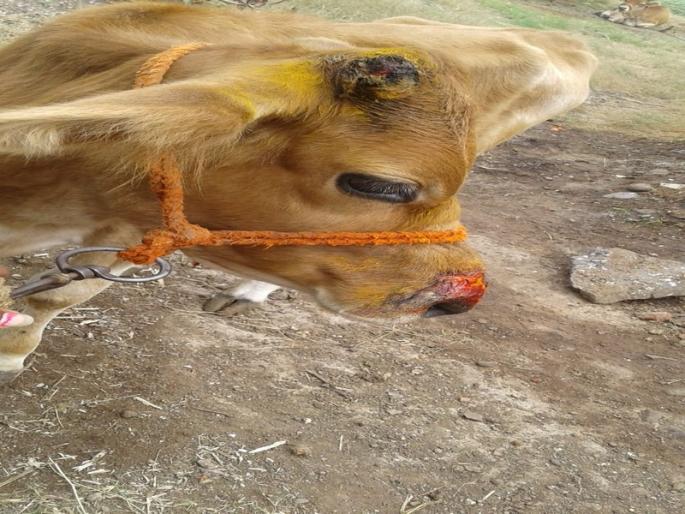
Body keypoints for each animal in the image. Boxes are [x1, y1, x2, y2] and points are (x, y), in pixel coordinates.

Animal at [0, 2, 596, 383]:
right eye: (381, 185)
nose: (465, 295)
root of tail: (562, 41)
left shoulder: (136, 230)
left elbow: (58, 296)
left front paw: (11, 353)